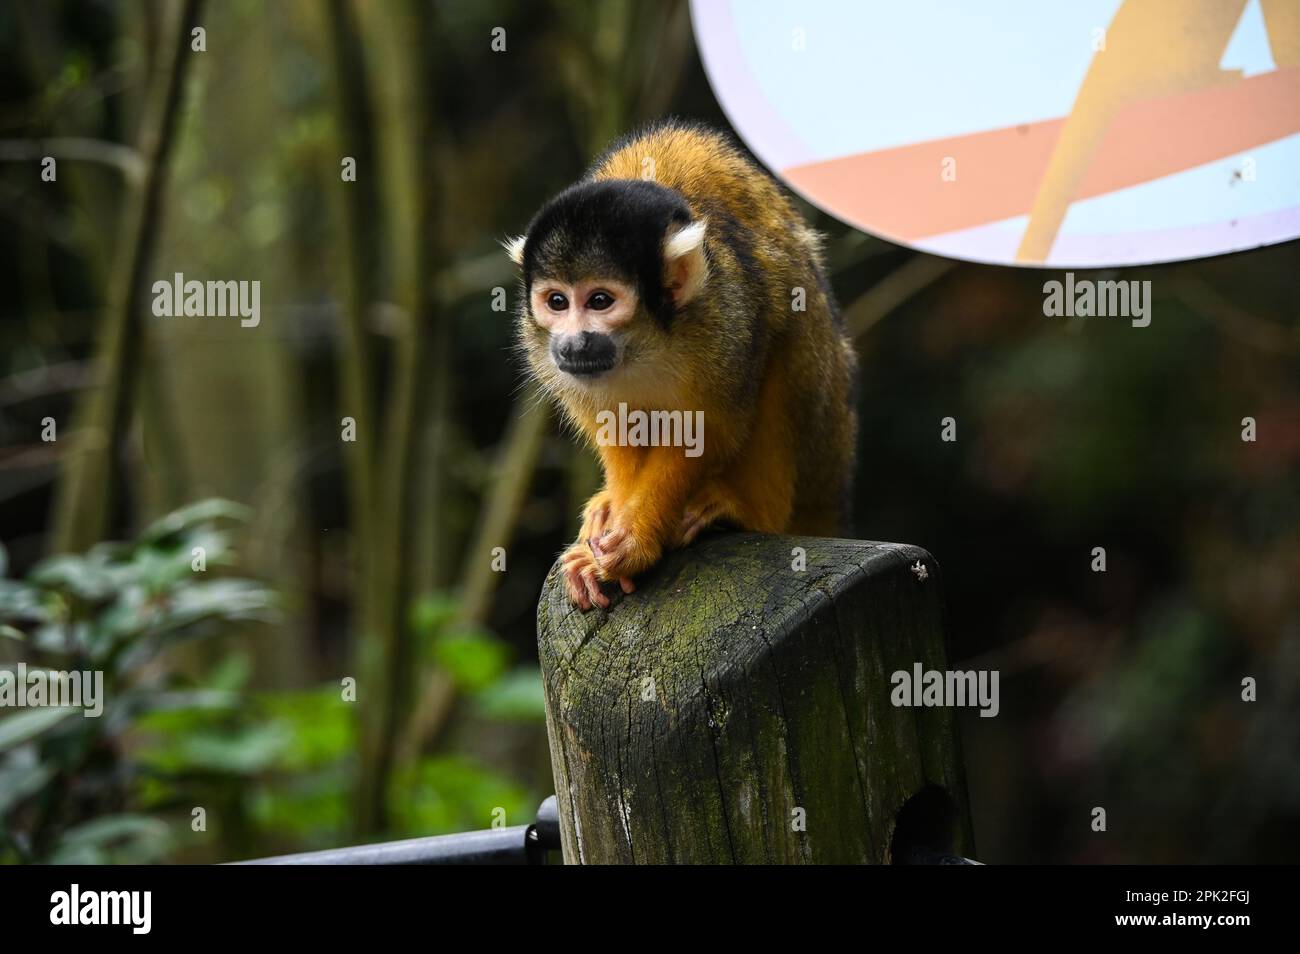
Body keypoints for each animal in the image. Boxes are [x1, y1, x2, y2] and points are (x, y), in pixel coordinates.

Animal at [509, 121, 863, 613]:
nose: (572, 341)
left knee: (790, 322)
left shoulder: (723, 314)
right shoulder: (548, 355)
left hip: (824, 442)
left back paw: (751, 509)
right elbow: (617, 426)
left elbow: (710, 429)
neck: (644, 343)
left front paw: (634, 541)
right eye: (557, 302)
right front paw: (612, 526)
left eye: (599, 301)